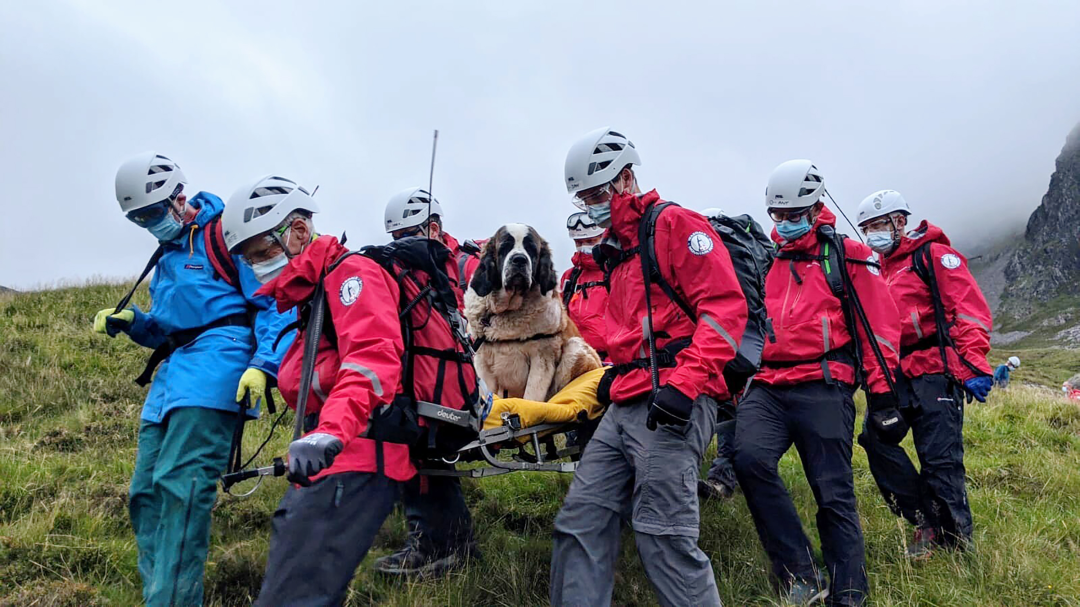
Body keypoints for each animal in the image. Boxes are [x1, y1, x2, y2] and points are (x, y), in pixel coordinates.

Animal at [462, 219, 604, 399]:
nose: (519, 259)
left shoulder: (542, 358)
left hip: (576, 349)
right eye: (505, 247)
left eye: (530, 249)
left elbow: (532, 397)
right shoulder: (482, 362)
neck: (508, 311)